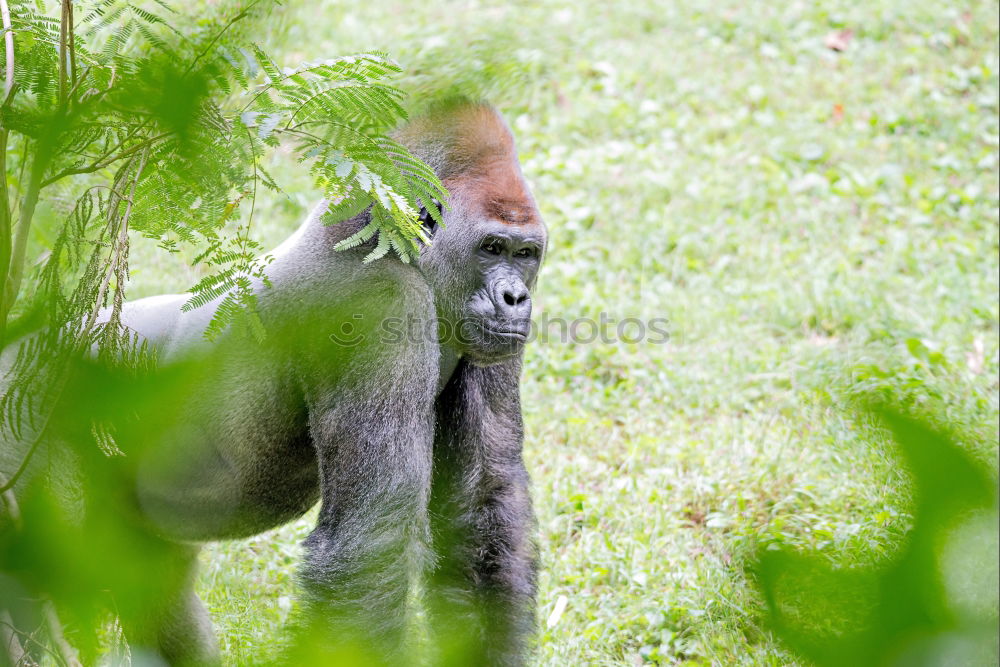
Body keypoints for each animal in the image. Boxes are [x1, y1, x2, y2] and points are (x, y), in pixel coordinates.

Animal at [80, 102, 548, 664]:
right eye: (491, 247)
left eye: (525, 254)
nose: (516, 299)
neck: (386, 241)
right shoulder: (374, 306)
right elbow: (370, 542)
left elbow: (482, 503)